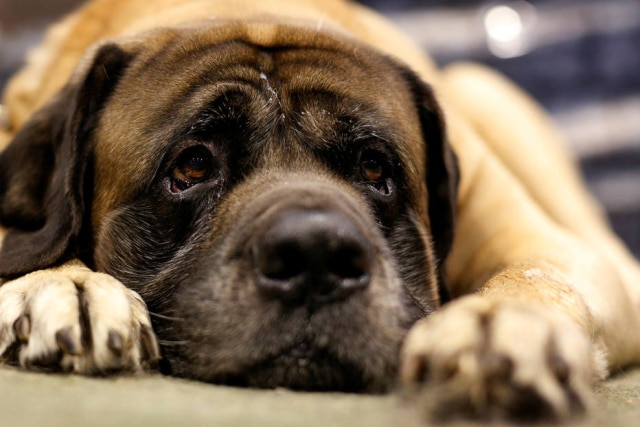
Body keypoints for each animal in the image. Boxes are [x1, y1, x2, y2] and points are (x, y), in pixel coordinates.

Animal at [1, 0, 640, 422]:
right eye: (192, 166)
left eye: (375, 169)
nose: (315, 255)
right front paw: (65, 285)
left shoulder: (534, 237)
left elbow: (538, 274)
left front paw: (496, 327)